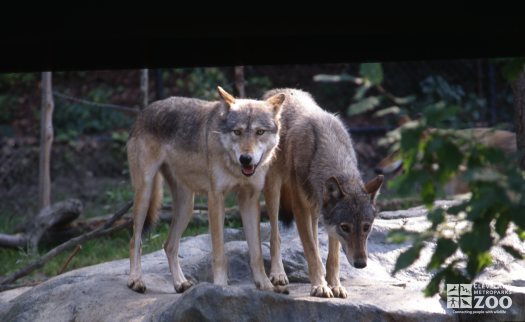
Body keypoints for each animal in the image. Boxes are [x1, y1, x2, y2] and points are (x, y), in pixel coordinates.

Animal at [125, 87, 284, 294]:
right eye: (237, 132)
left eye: (259, 132)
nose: (246, 159)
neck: (234, 167)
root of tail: (144, 111)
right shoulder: (216, 199)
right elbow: (219, 253)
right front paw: (221, 287)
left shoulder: (249, 200)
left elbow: (256, 252)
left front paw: (266, 285)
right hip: (145, 193)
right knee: (135, 240)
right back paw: (136, 280)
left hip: (187, 206)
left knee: (169, 245)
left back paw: (180, 283)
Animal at [260, 89, 380, 298]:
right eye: (346, 227)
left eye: (366, 227)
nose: (361, 264)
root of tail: (277, 91)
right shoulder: (300, 208)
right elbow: (310, 250)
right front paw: (320, 286)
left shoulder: (328, 220)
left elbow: (333, 257)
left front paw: (334, 285)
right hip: (274, 191)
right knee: (276, 235)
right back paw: (278, 274)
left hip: (314, 209)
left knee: (315, 238)